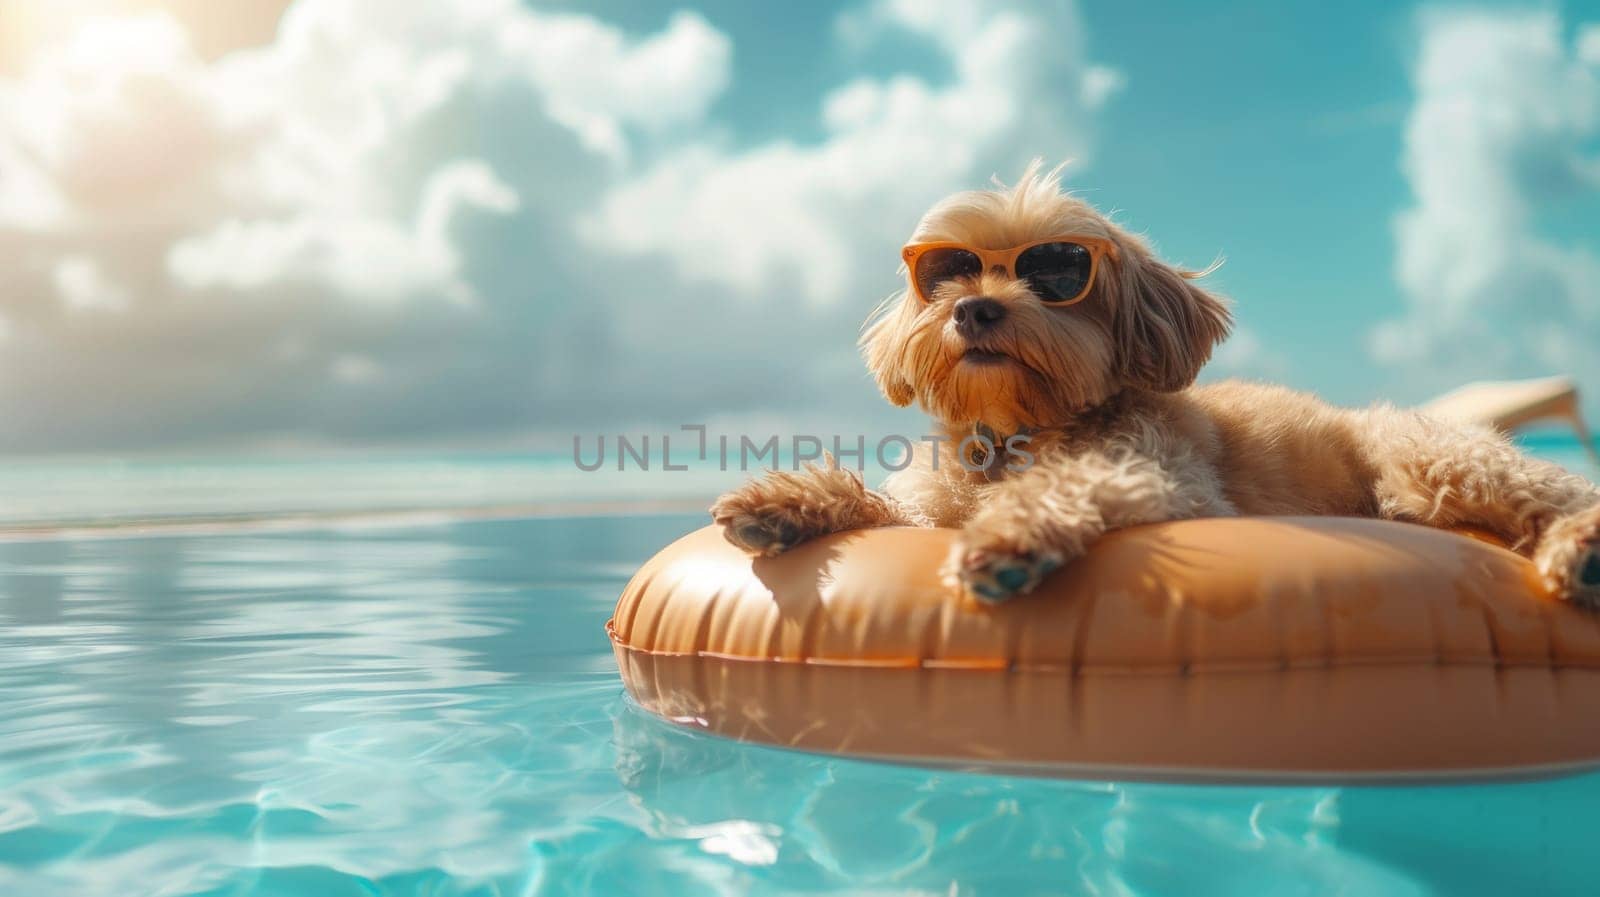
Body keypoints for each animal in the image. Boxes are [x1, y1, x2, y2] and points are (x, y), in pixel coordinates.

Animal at [710, 164, 1600, 604]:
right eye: (948, 271)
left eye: (1056, 272)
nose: (974, 307)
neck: (1015, 430)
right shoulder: (930, 506)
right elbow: (887, 507)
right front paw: (789, 500)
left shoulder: (1172, 481)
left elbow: (1075, 483)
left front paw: (1010, 536)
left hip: (1434, 456)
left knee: (1558, 498)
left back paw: (1580, 552)